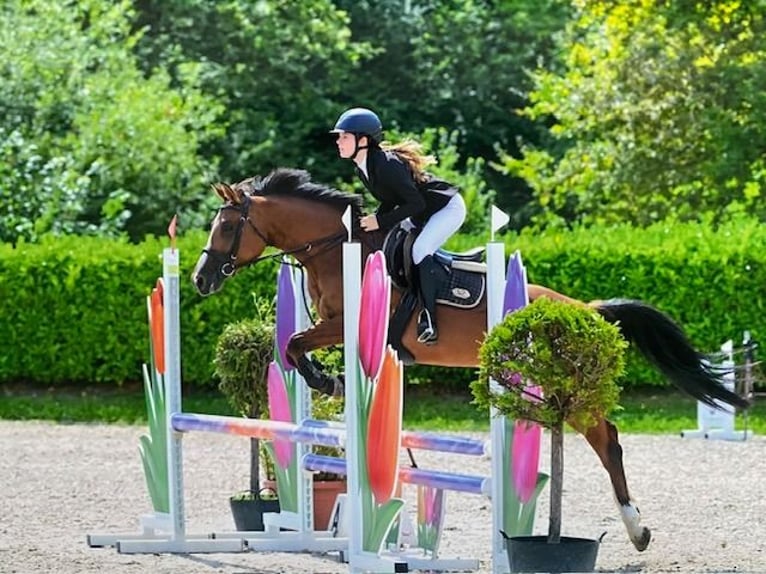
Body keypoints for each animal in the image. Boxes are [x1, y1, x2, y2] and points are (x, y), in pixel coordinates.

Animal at [192, 169, 752, 556]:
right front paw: (330, 381)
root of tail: (583, 310)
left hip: (562, 389)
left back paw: (637, 530)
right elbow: (292, 346)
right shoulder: (337, 329)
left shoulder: (346, 324)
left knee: (606, 439)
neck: (336, 249)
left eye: (226, 225)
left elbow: (294, 344)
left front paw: (327, 381)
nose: (201, 278)